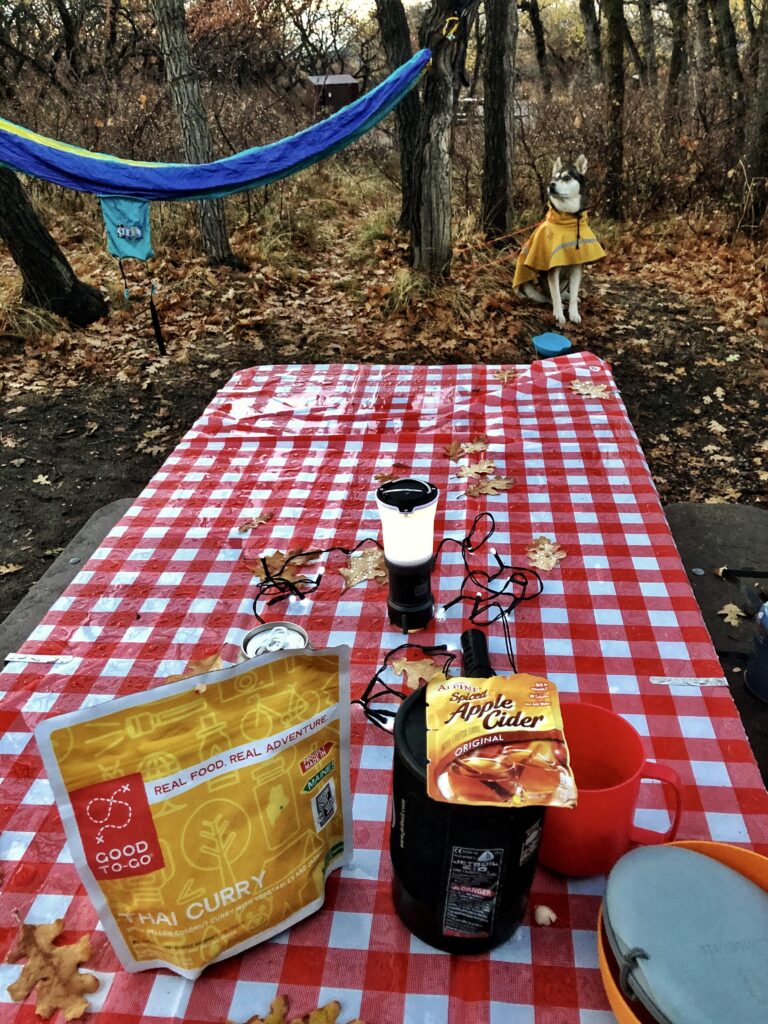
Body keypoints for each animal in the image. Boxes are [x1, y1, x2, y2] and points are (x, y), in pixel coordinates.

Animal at [518, 153, 606, 323]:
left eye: (566, 177)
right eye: (554, 178)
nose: (550, 185)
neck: (568, 218)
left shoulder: (577, 266)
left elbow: (573, 293)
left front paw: (574, 312)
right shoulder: (553, 269)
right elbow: (555, 296)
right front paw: (559, 313)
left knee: (566, 291)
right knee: (550, 294)